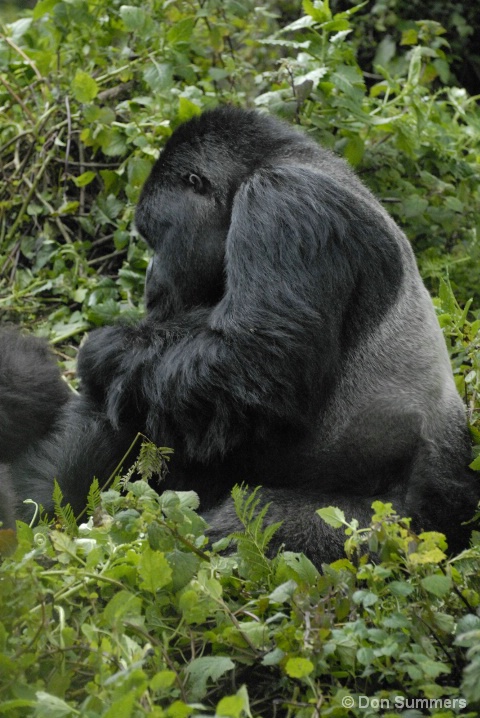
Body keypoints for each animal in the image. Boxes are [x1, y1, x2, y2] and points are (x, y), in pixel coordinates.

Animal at [0, 108, 480, 564]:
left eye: (154, 238)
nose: (150, 281)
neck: (274, 159)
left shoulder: (284, 200)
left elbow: (252, 357)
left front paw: (103, 352)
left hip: (394, 531)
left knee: (247, 527)